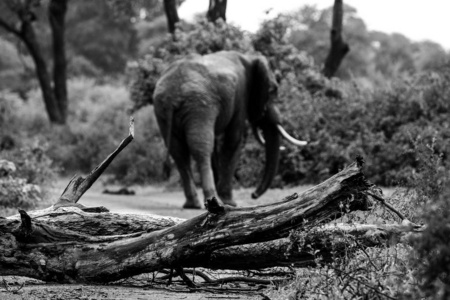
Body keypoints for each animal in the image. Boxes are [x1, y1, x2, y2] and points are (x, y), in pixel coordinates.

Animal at [153, 50, 308, 209]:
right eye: (273, 91)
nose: (253, 195)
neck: (250, 58)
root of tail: (172, 93)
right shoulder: (241, 95)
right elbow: (234, 140)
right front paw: (230, 202)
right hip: (199, 105)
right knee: (201, 148)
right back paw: (211, 201)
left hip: (162, 110)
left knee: (178, 153)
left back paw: (193, 204)